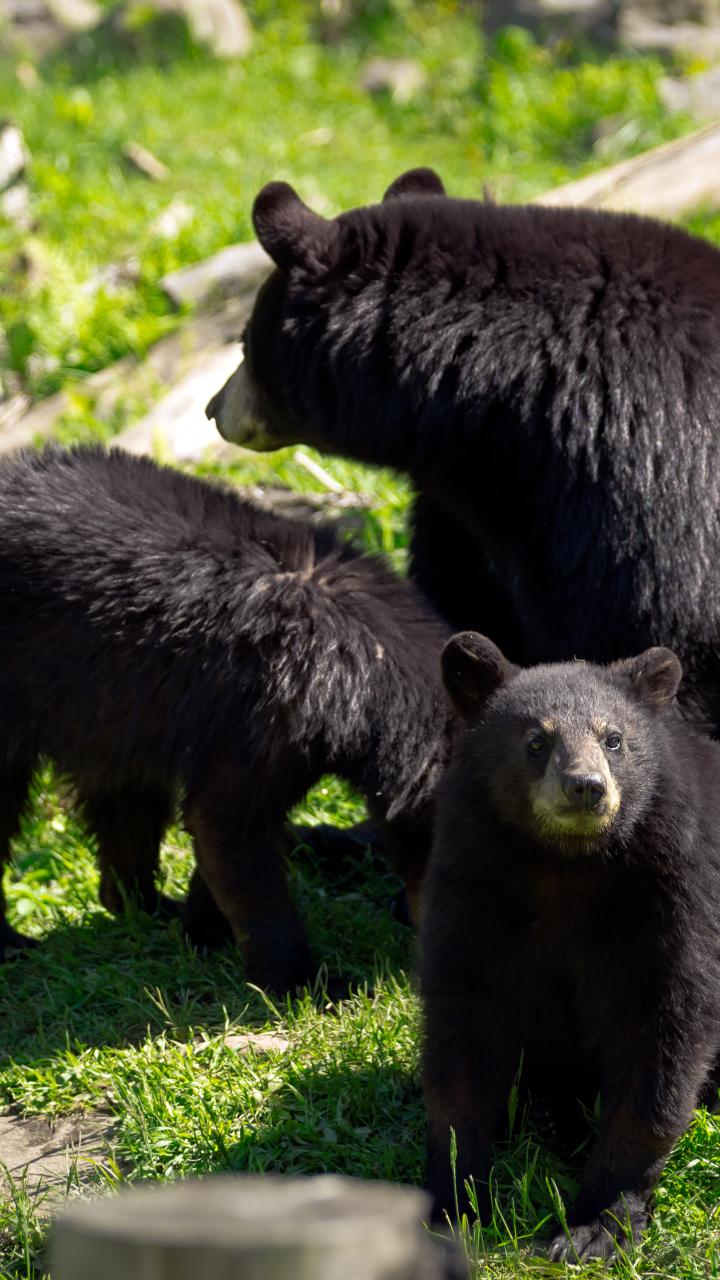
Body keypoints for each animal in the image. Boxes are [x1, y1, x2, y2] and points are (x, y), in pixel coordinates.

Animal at [0, 445, 454, 992]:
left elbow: (219, 830)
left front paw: (204, 933)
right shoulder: (275, 702)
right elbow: (227, 821)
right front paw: (304, 982)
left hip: (110, 708)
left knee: (129, 800)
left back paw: (147, 905)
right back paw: (12, 944)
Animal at [420, 630, 720, 1261]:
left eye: (614, 738)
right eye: (537, 740)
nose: (586, 788)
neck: (566, 864)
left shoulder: (676, 889)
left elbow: (666, 1029)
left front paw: (594, 1225)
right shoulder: (470, 882)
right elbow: (462, 1025)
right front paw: (452, 1202)